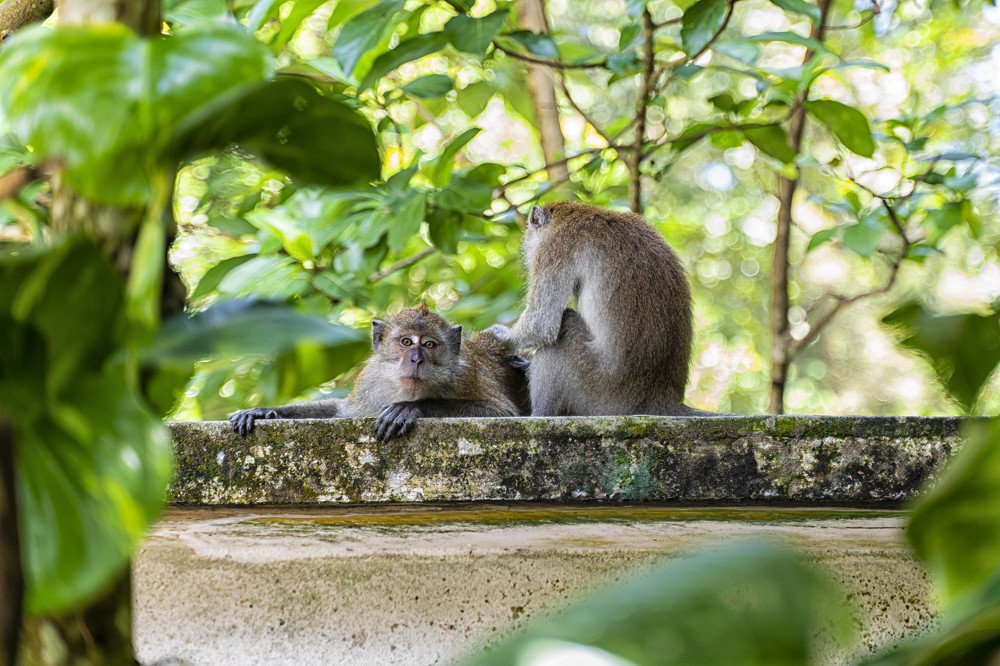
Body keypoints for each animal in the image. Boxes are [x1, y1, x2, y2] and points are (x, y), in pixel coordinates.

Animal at [230, 303, 530, 440]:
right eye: (406, 342)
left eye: (430, 344)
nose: (416, 359)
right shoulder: (369, 384)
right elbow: (343, 413)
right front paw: (264, 411)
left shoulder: (465, 377)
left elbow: (499, 411)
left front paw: (409, 408)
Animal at [488, 201, 707, 417]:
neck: (574, 214)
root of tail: (659, 400)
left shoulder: (555, 247)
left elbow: (541, 324)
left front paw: (501, 336)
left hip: (599, 391)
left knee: (565, 326)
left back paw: (541, 414)